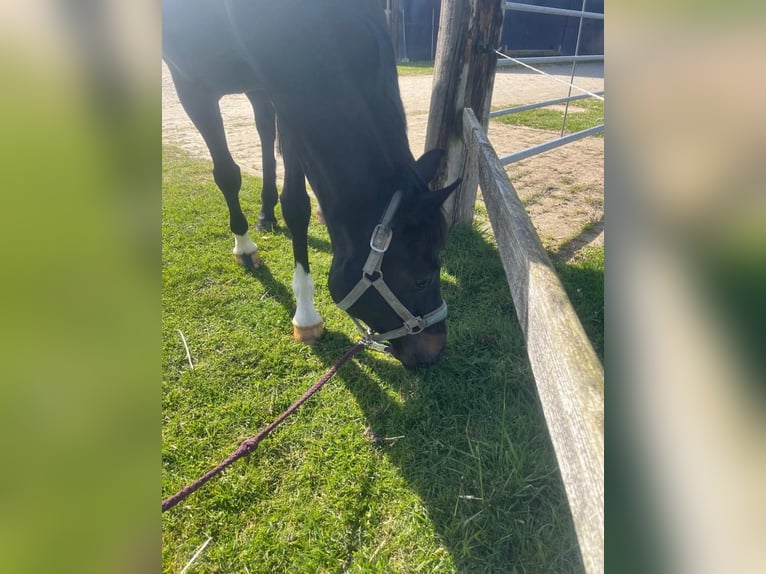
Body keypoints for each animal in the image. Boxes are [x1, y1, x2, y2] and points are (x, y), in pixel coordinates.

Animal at [162, 0, 460, 368]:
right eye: (421, 280)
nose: (437, 350)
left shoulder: (289, 97)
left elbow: (295, 204)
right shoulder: (192, 88)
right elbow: (229, 175)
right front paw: (248, 251)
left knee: (264, 128)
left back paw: (267, 213)